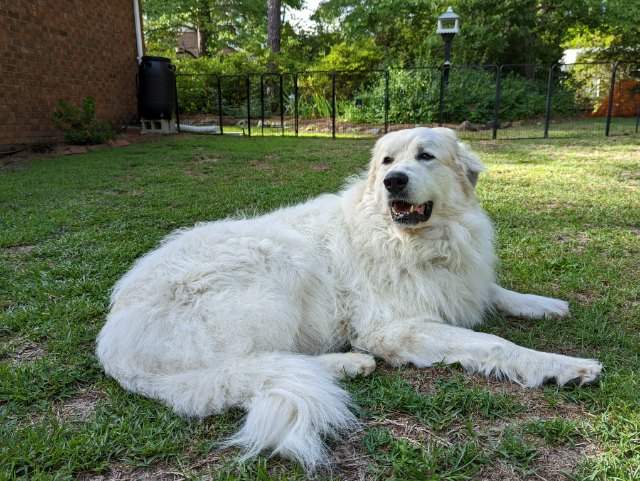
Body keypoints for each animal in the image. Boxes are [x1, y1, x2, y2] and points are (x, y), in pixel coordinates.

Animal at [95, 126, 600, 468]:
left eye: (426, 156)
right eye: (387, 161)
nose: (394, 181)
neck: (415, 241)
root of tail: (113, 345)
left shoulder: (460, 281)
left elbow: (495, 291)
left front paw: (544, 304)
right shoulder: (394, 329)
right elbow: (494, 344)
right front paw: (563, 365)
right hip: (277, 264)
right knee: (253, 366)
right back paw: (347, 363)